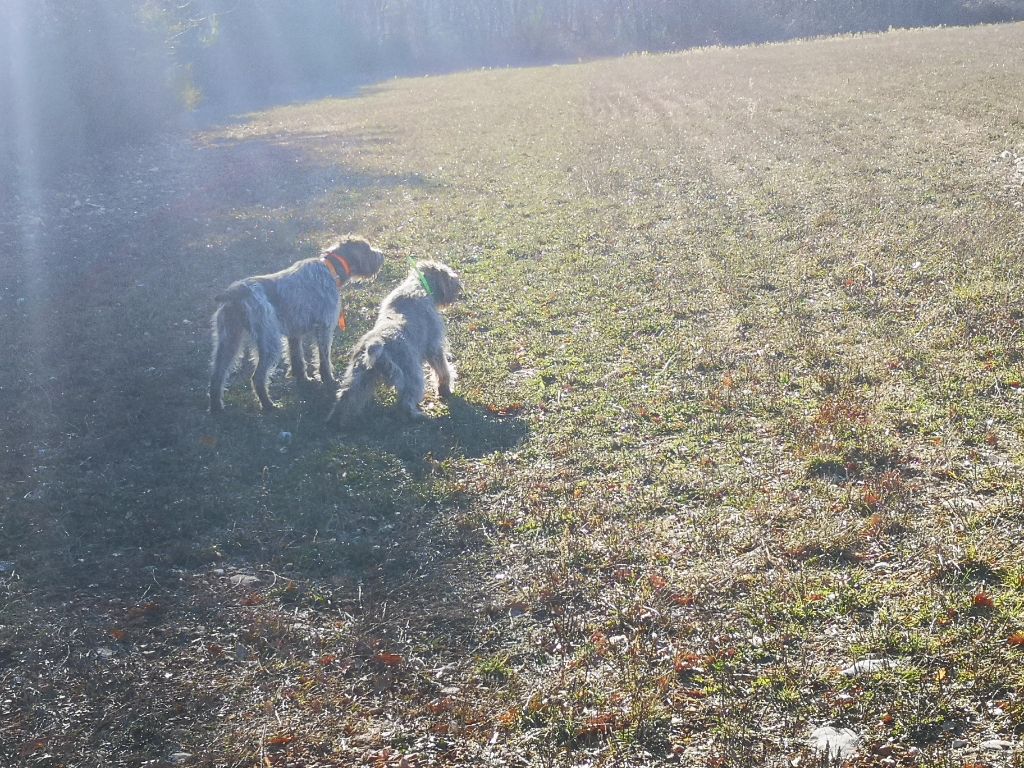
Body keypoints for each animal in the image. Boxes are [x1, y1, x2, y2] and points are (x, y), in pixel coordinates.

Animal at [209, 237, 385, 415]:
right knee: (257, 377)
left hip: (228, 341)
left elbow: (297, 359)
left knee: (217, 375)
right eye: (368, 249)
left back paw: (217, 406)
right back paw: (268, 405)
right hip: (270, 343)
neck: (330, 269)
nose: (382, 255)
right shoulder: (325, 328)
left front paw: (303, 379)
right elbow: (324, 360)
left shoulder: (294, 333)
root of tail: (235, 292)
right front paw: (329, 380)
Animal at [325, 262, 462, 423]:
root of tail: (377, 344)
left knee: (346, 398)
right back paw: (420, 416)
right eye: (449, 275)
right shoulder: (434, 347)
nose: (459, 284)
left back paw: (335, 420)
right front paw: (445, 389)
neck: (418, 285)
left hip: (358, 377)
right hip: (413, 375)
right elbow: (443, 370)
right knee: (406, 403)